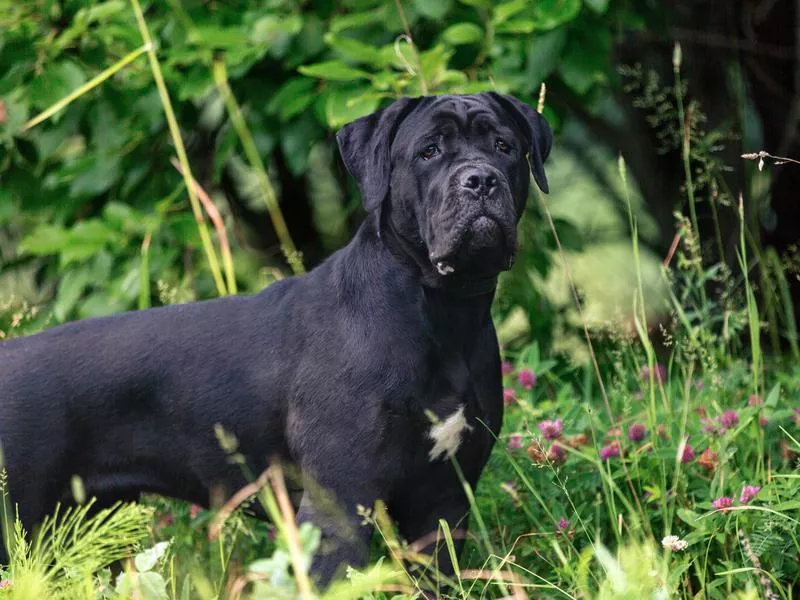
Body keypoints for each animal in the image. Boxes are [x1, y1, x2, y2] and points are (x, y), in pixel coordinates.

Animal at [0, 91, 552, 584]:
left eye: (504, 146)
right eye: (429, 151)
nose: (480, 179)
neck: (441, 309)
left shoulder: (442, 504)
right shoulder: (338, 502)